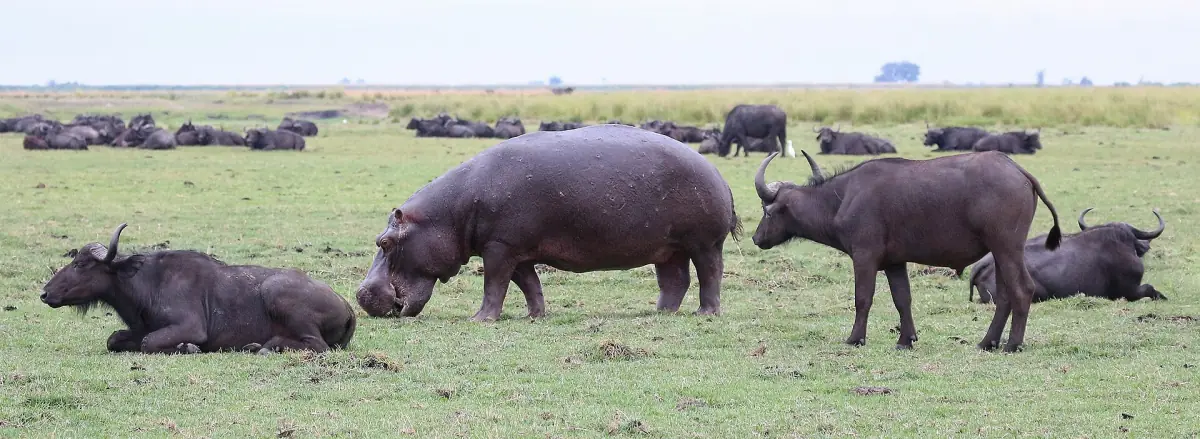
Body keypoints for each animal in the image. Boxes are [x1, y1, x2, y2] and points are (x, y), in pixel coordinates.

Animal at [40, 224, 357, 354]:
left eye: (81, 264)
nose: (44, 293)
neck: (149, 283)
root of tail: (347, 307)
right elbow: (114, 339)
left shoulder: (190, 327)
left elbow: (149, 343)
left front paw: (187, 348)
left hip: (275, 292)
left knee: (317, 346)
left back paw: (267, 347)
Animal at [356, 125, 741, 321]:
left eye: (384, 242)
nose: (360, 294)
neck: (450, 212)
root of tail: (718, 173)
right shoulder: (516, 251)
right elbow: (529, 285)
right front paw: (535, 316)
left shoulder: (499, 248)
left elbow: (494, 285)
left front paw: (480, 319)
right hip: (668, 248)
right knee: (675, 280)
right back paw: (658, 313)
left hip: (704, 243)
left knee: (710, 275)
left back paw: (705, 314)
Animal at [751, 150, 1062, 352]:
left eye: (766, 210)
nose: (756, 238)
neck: (842, 199)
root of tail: (1018, 170)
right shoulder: (894, 263)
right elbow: (903, 299)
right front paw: (905, 340)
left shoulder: (865, 258)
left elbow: (862, 299)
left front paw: (855, 338)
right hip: (998, 253)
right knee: (1005, 295)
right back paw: (988, 342)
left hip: (1007, 247)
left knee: (1022, 289)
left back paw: (1013, 344)